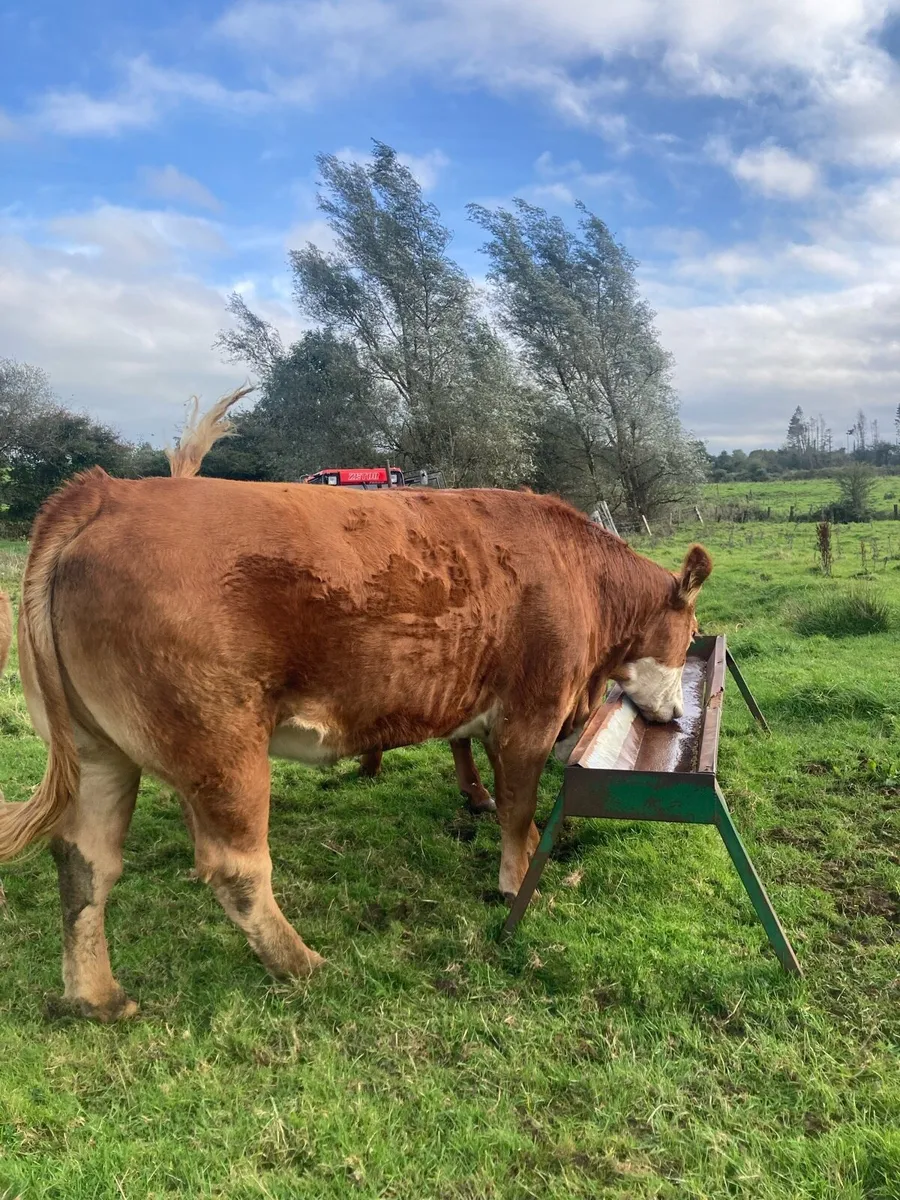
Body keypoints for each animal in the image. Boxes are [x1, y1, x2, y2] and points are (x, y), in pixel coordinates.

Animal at [0, 389, 711, 1020]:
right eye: (691, 631)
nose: (678, 717)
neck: (579, 576)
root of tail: (108, 491)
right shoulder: (531, 711)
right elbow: (516, 803)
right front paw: (516, 877)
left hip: (100, 750)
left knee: (85, 863)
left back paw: (97, 997)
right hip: (221, 746)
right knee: (235, 868)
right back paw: (300, 963)